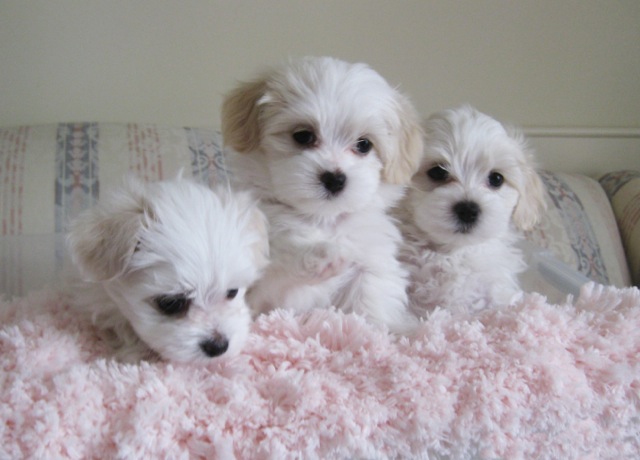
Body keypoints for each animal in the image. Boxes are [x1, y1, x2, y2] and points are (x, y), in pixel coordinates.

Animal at [221, 56, 424, 334]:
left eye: (364, 145)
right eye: (303, 136)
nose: (335, 179)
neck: (322, 219)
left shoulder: (370, 260)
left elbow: (371, 299)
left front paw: (387, 329)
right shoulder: (260, 289)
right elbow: (279, 271)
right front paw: (321, 255)